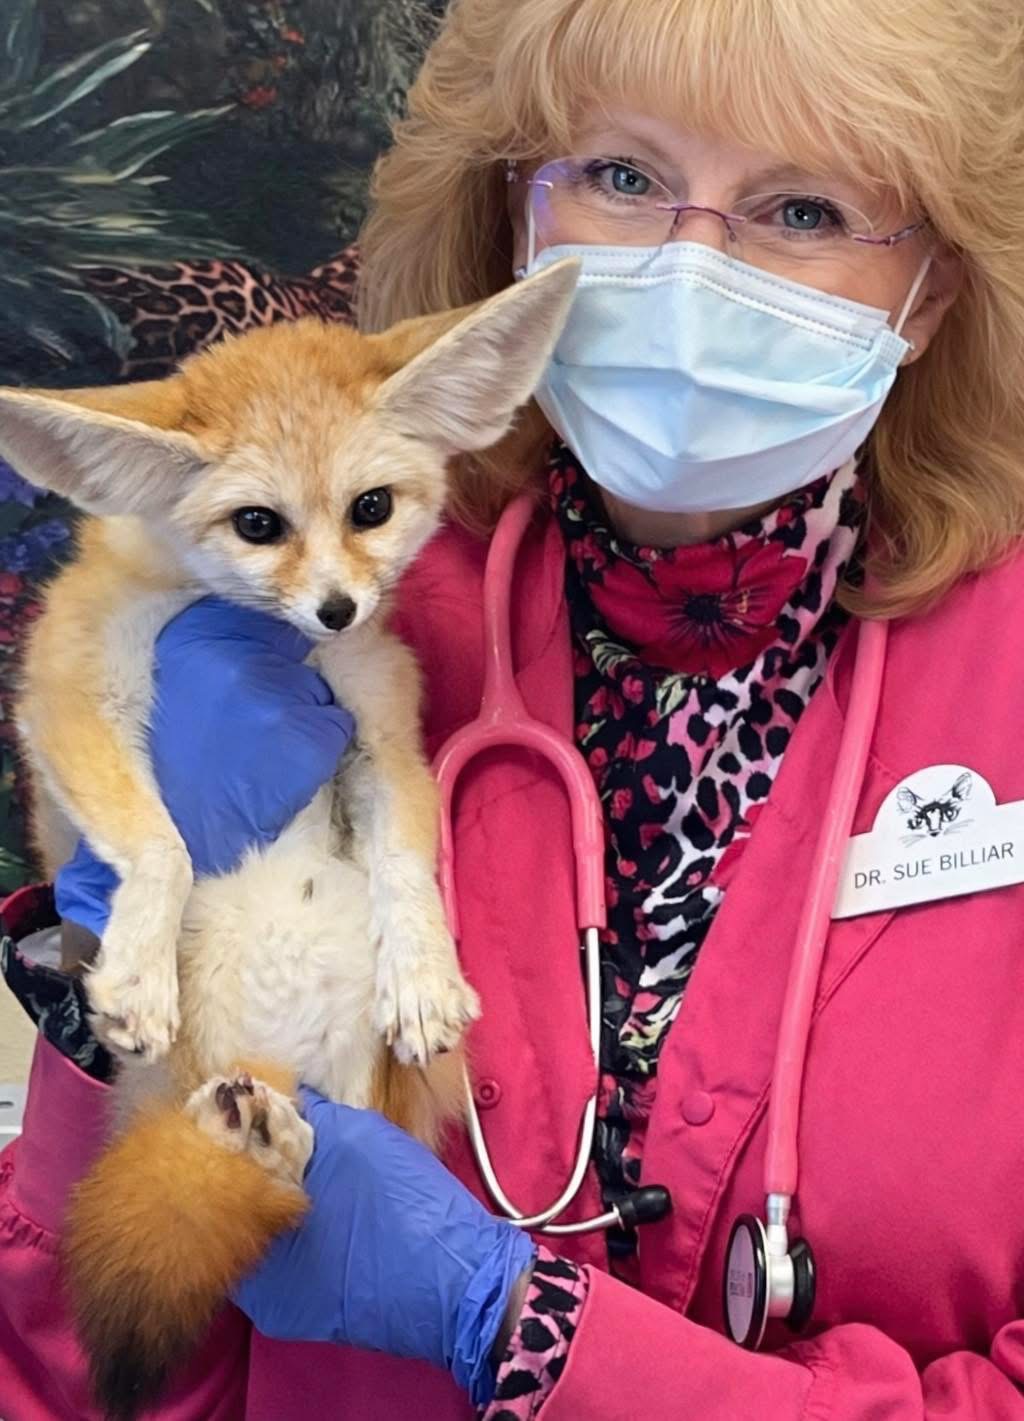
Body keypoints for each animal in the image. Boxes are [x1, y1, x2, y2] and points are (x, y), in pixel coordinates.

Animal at [0, 255, 580, 1420]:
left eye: (371, 509)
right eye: (257, 524)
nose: (338, 607)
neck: (266, 640)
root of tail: (264, 1066)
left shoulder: (381, 718)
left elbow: (406, 859)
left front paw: (424, 971)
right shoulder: (68, 696)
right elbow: (162, 845)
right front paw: (135, 966)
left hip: (353, 1065)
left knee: (334, 1144)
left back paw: (298, 1148)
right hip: (189, 1071)